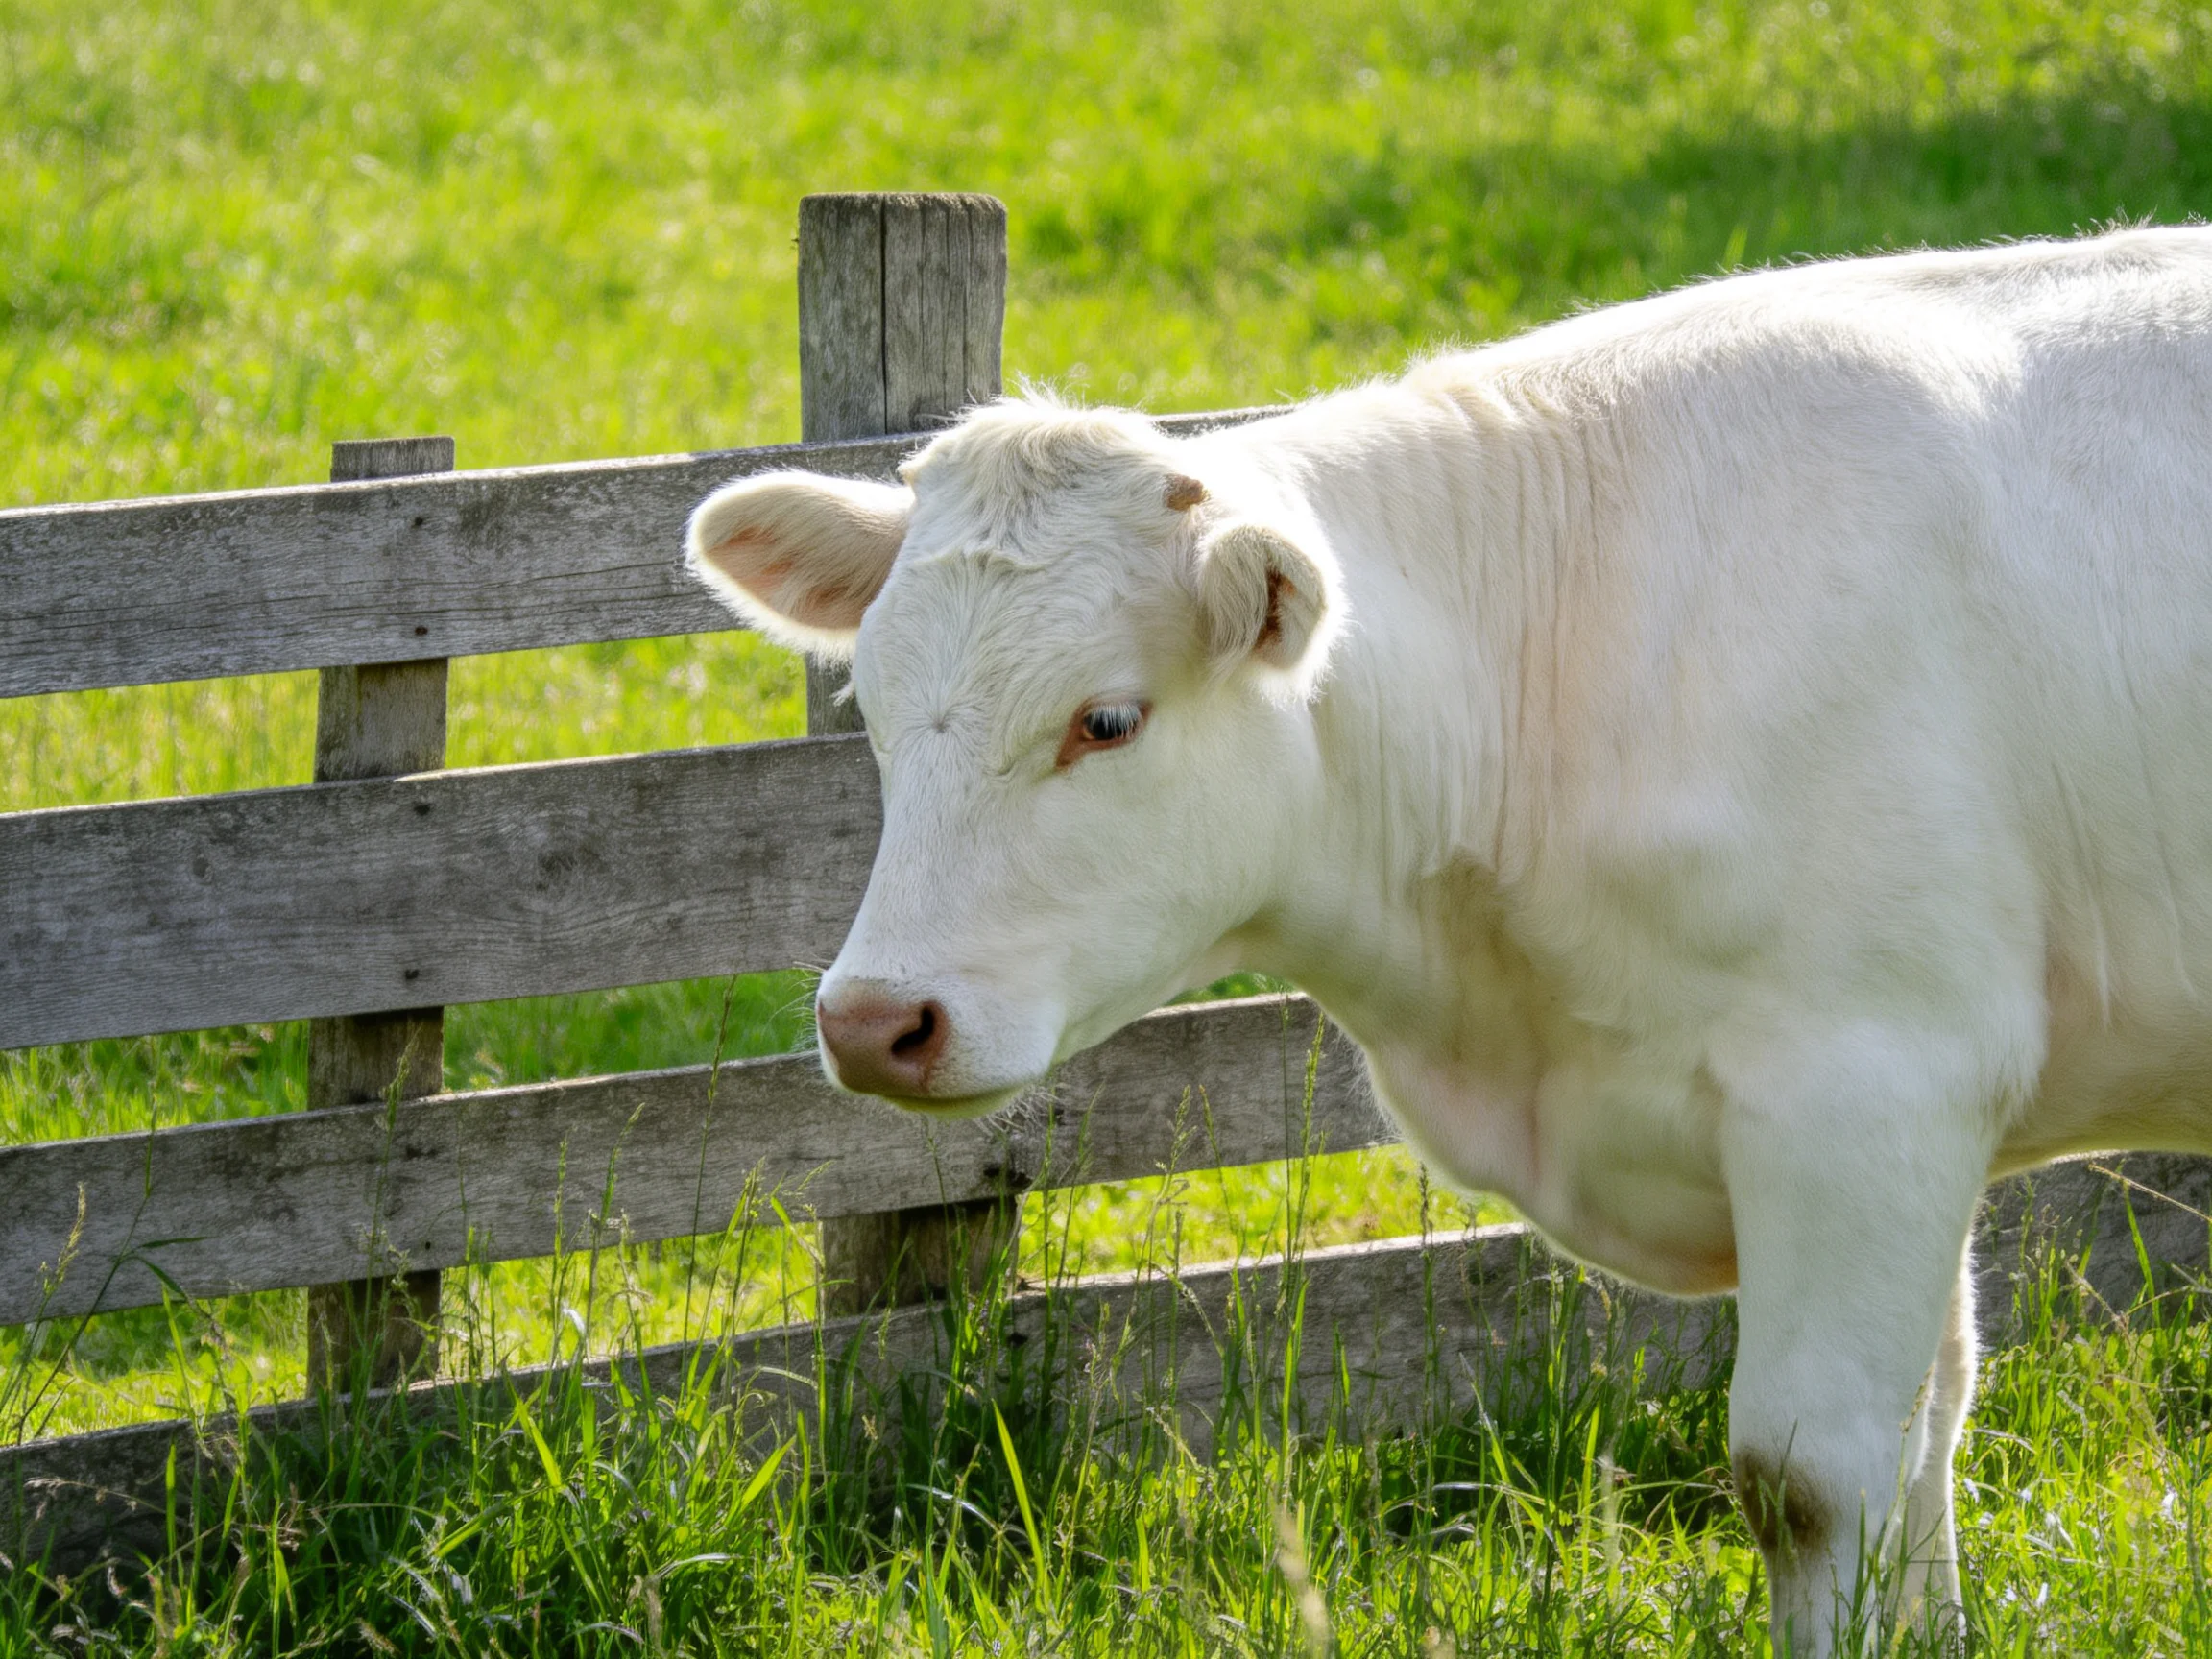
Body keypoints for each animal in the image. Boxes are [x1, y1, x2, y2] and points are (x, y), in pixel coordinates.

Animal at [683, 227, 2212, 1653]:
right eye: (870, 705)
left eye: (1105, 719)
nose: (874, 1021)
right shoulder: (1904, 1115)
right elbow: (1930, 1427)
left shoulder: (1868, 1081)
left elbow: (1816, 1473)